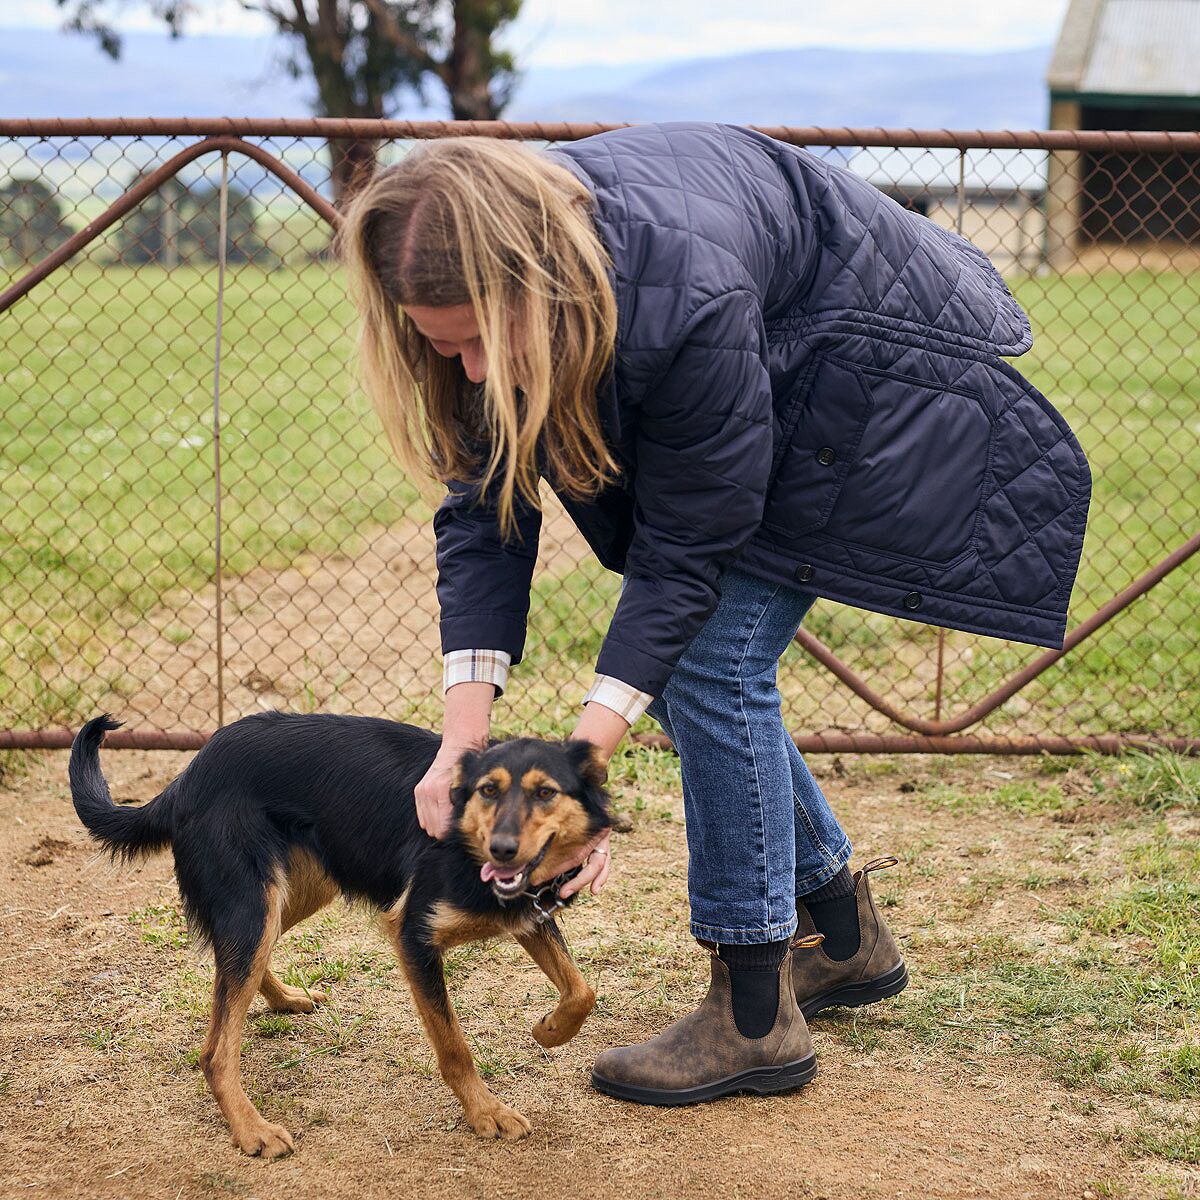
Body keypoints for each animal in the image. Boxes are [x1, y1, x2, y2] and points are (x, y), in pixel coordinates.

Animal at [68, 710, 609, 1152]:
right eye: (487, 791)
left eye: (545, 793)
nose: (502, 849)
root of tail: (186, 778)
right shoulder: (412, 934)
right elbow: (454, 1045)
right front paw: (486, 1113)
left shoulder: (530, 916)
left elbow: (583, 990)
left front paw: (551, 1030)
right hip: (254, 905)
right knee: (217, 1049)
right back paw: (251, 1130)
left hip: (290, 894)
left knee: (239, 971)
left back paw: (285, 999)